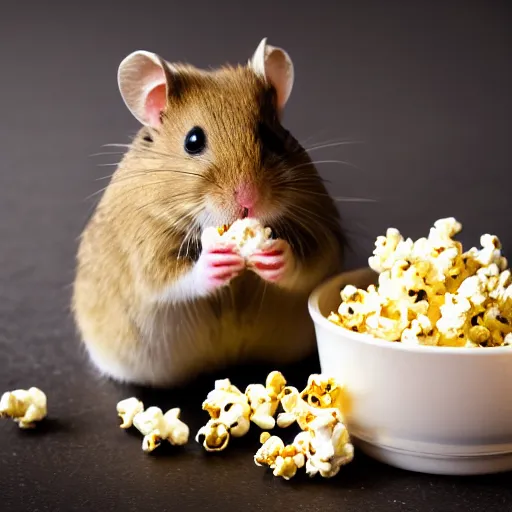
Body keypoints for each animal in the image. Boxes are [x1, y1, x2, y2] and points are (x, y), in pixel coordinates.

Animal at [71, 38, 344, 386]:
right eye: (193, 140)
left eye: (271, 135)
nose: (249, 199)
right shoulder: (144, 252)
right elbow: (172, 278)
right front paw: (216, 258)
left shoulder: (320, 228)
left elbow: (309, 262)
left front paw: (274, 255)